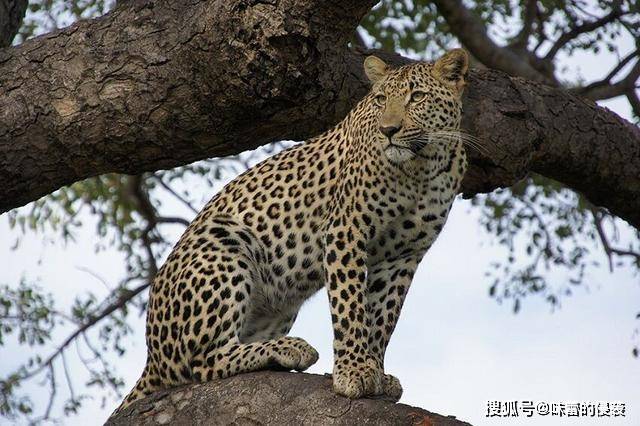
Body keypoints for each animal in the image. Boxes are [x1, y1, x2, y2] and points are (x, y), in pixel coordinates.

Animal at [111, 47, 470, 416]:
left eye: (417, 97)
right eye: (381, 99)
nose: (388, 130)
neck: (423, 166)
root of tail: (152, 359)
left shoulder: (404, 255)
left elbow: (383, 318)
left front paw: (376, 371)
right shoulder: (346, 230)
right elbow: (351, 306)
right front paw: (353, 371)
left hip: (278, 306)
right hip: (224, 242)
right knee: (203, 361)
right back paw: (289, 349)